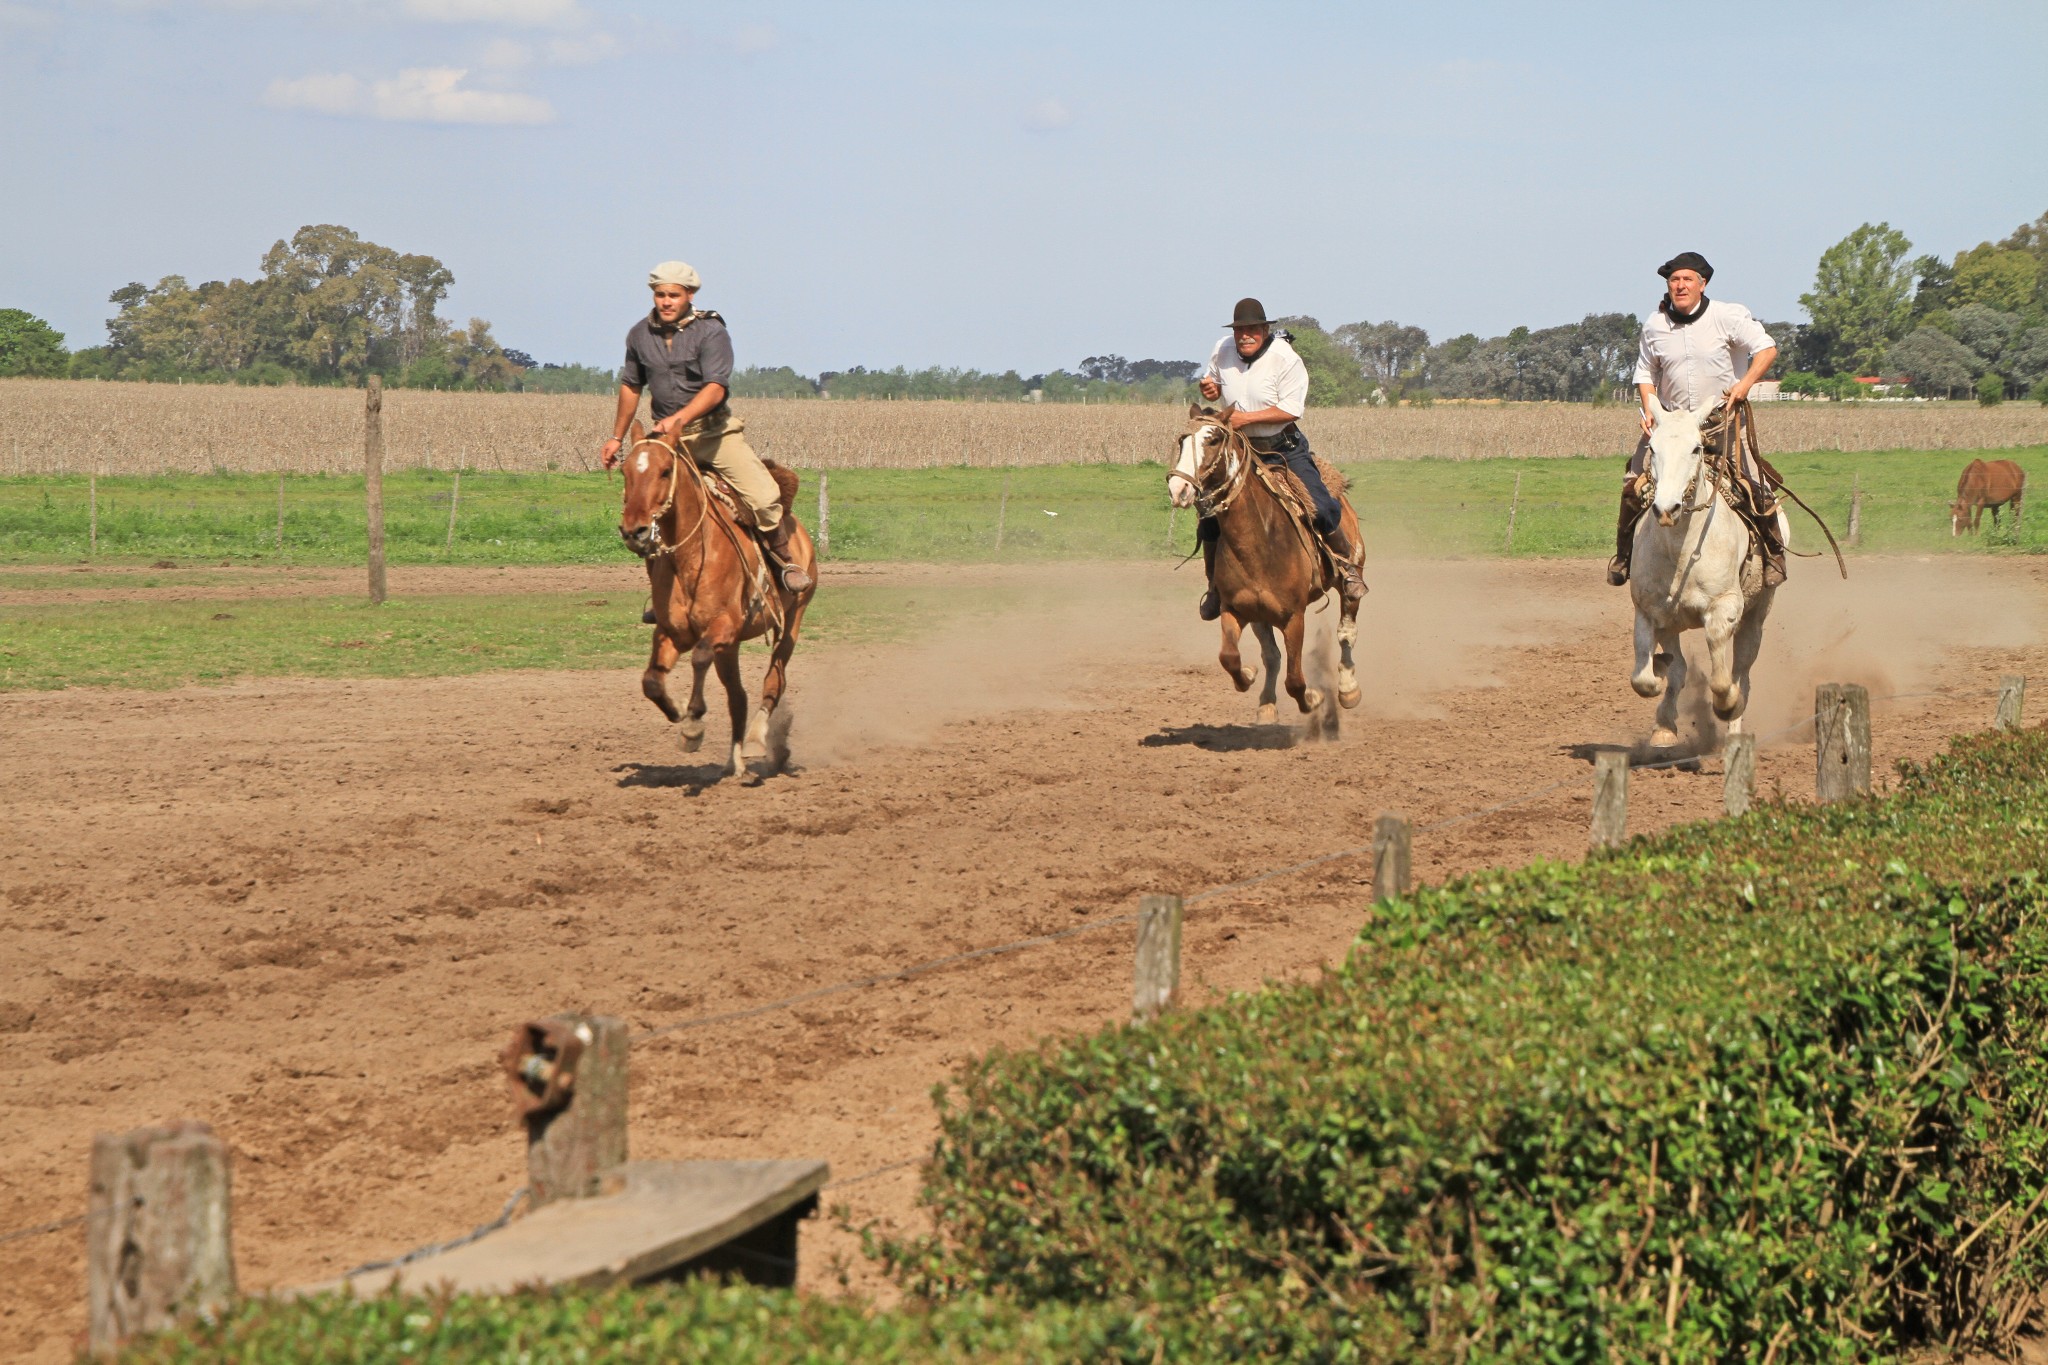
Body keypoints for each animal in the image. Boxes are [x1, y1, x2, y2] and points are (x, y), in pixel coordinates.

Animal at [614, 417, 815, 777]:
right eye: (625, 470)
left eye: (665, 470)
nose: (634, 531)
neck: (692, 557)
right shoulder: (672, 633)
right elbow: (651, 681)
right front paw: (680, 711)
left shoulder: (723, 627)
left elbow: (699, 657)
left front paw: (693, 725)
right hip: (731, 648)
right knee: (738, 697)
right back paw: (733, 763)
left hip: (792, 621)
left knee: (773, 681)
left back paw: (755, 740)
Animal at [1630, 403, 1777, 749]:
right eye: (1652, 447)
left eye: (1696, 448)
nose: (1666, 509)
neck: (1682, 553)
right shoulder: (1648, 612)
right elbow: (1644, 678)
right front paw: (1659, 681)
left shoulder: (1725, 607)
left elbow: (1723, 679)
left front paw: (1728, 704)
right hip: (1672, 623)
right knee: (1680, 668)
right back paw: (1665, 722)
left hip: (1756, 617)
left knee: (1742, 673)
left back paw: (1735, 734)